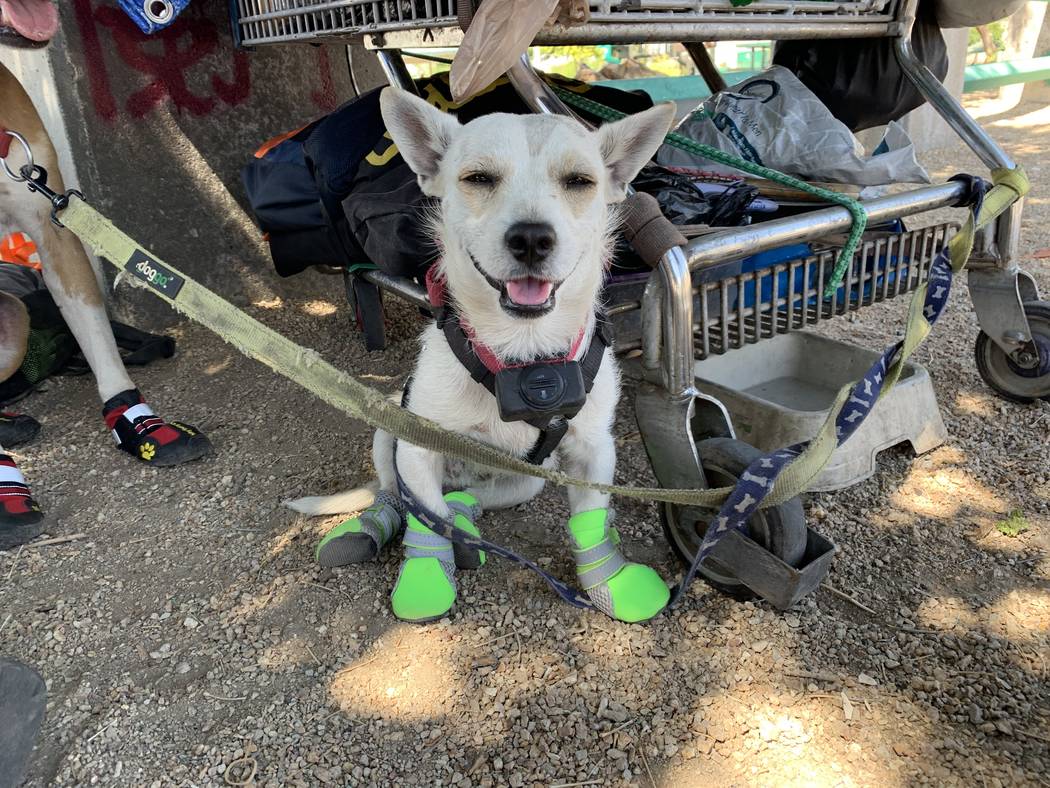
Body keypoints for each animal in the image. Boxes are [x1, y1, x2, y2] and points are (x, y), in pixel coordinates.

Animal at [291, 87, 676, 621]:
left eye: (579, 181)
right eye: (479, 178)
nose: (532, 238)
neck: (522, 353)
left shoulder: (594, 452)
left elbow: (593, 522)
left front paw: (612, 582)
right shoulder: (416, 449)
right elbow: (426, 522)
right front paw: (427, 582)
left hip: (525, 482)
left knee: (464, 502)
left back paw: (467, 523)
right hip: (388, 429)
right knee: (398, 497)